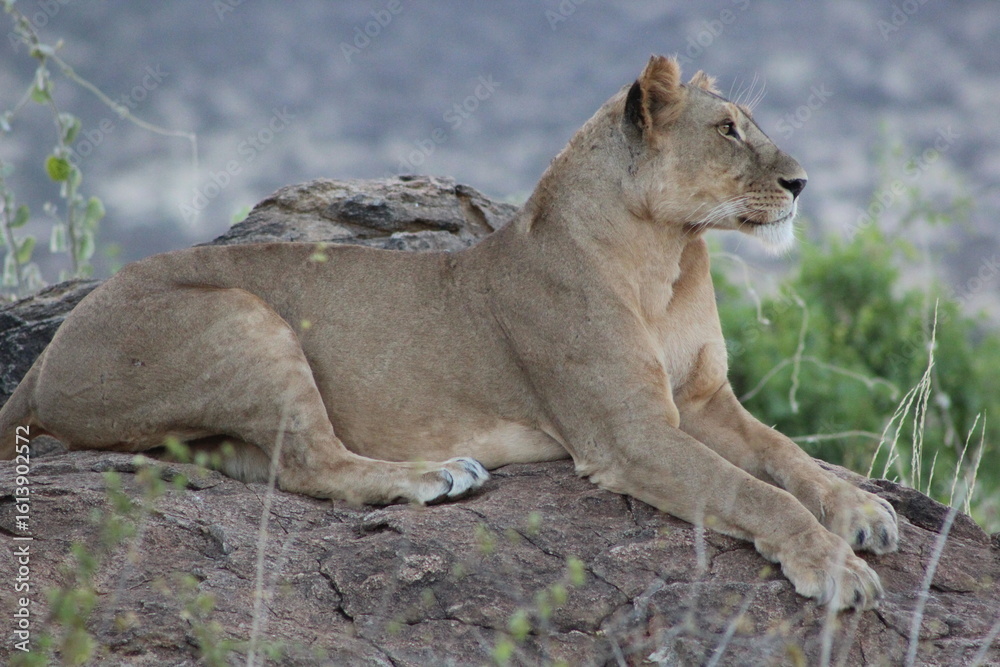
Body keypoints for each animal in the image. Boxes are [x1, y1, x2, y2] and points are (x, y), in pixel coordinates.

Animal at [0, 55, 898, 610]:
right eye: (728, 130)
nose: (802, 182)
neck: (669, 256)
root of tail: (44, 359)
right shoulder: (629, 433)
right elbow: (755, 491)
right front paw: (834, 565)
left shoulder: (705, 399)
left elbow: (787, 456)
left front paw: (862, 509)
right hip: (241, 316)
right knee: (315, 464)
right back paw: (438, 475)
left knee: (267, 464)